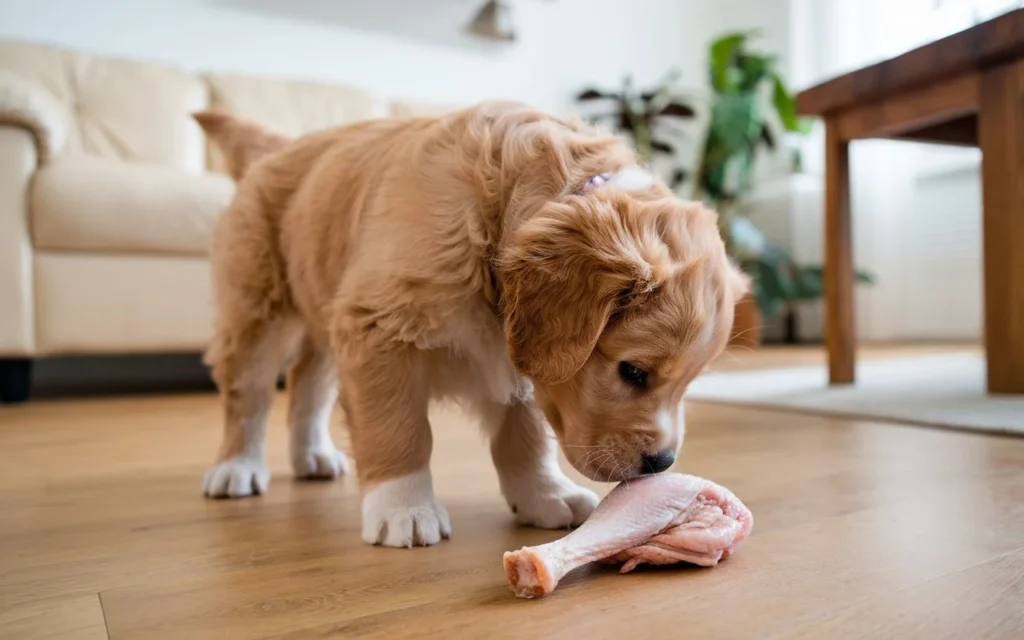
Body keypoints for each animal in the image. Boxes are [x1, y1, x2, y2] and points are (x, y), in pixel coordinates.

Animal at [195, 100, 749, 548]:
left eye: (688, 384)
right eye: (633, 372)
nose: (662, 463)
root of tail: (283, 148)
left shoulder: (516, 359)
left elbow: (526, 436)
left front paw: (544, 496)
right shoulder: (378, 328)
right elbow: (399, 428)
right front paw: (404, 508)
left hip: (323, 313)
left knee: (309, 386)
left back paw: (313, 457)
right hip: (256, 309)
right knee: (249, 395)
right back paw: (236, 467)